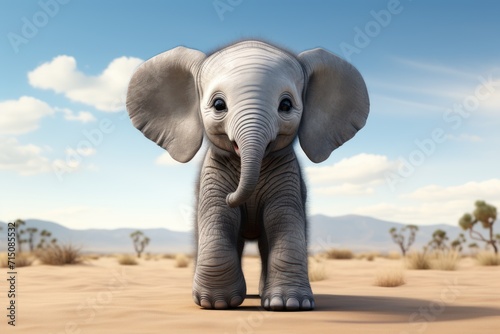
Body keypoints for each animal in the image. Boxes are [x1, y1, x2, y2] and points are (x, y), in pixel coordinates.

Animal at [127, 39, 370, 310]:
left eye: (286, 106)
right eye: (218, 105)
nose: (232, 196)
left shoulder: (289, 177)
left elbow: (283, 219)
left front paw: (288, 304)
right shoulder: (213, 175)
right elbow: (218, 217)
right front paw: (216, 304)